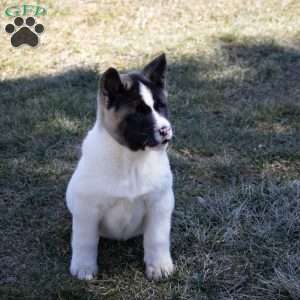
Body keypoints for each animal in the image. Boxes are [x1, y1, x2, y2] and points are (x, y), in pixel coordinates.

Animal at [65, 54, 173, 282]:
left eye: (161, 106)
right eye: (139, 112)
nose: (165, 130)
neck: (131, 159)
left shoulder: (159, 204)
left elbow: (157, 238)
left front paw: (159, 266)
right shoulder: (87, 210)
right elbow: (84, 240)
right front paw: (84, 267)